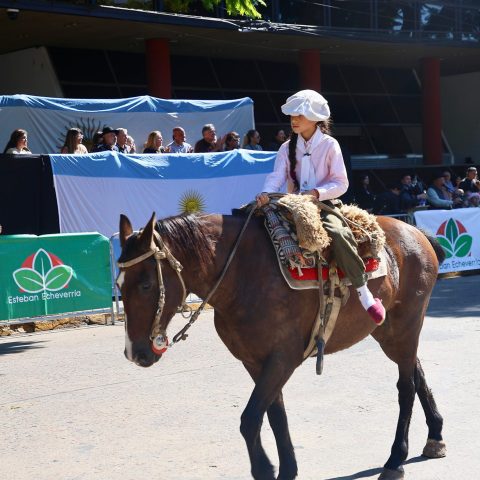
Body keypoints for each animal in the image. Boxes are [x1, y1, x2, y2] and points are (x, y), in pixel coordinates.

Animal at [117, 209, 446, 480]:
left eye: (146, 284)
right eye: (119, 285)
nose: (135, 353)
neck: (243, 273)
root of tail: (414, 231)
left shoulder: (282, 359)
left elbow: (250, 419)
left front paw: (265, 470)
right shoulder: (255, 362)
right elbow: (275, 416)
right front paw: (288, 469)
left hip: (406, 326)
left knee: (406, 387)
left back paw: (395, 460)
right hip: (390, 332)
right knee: (416, 374)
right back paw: (435, 435)